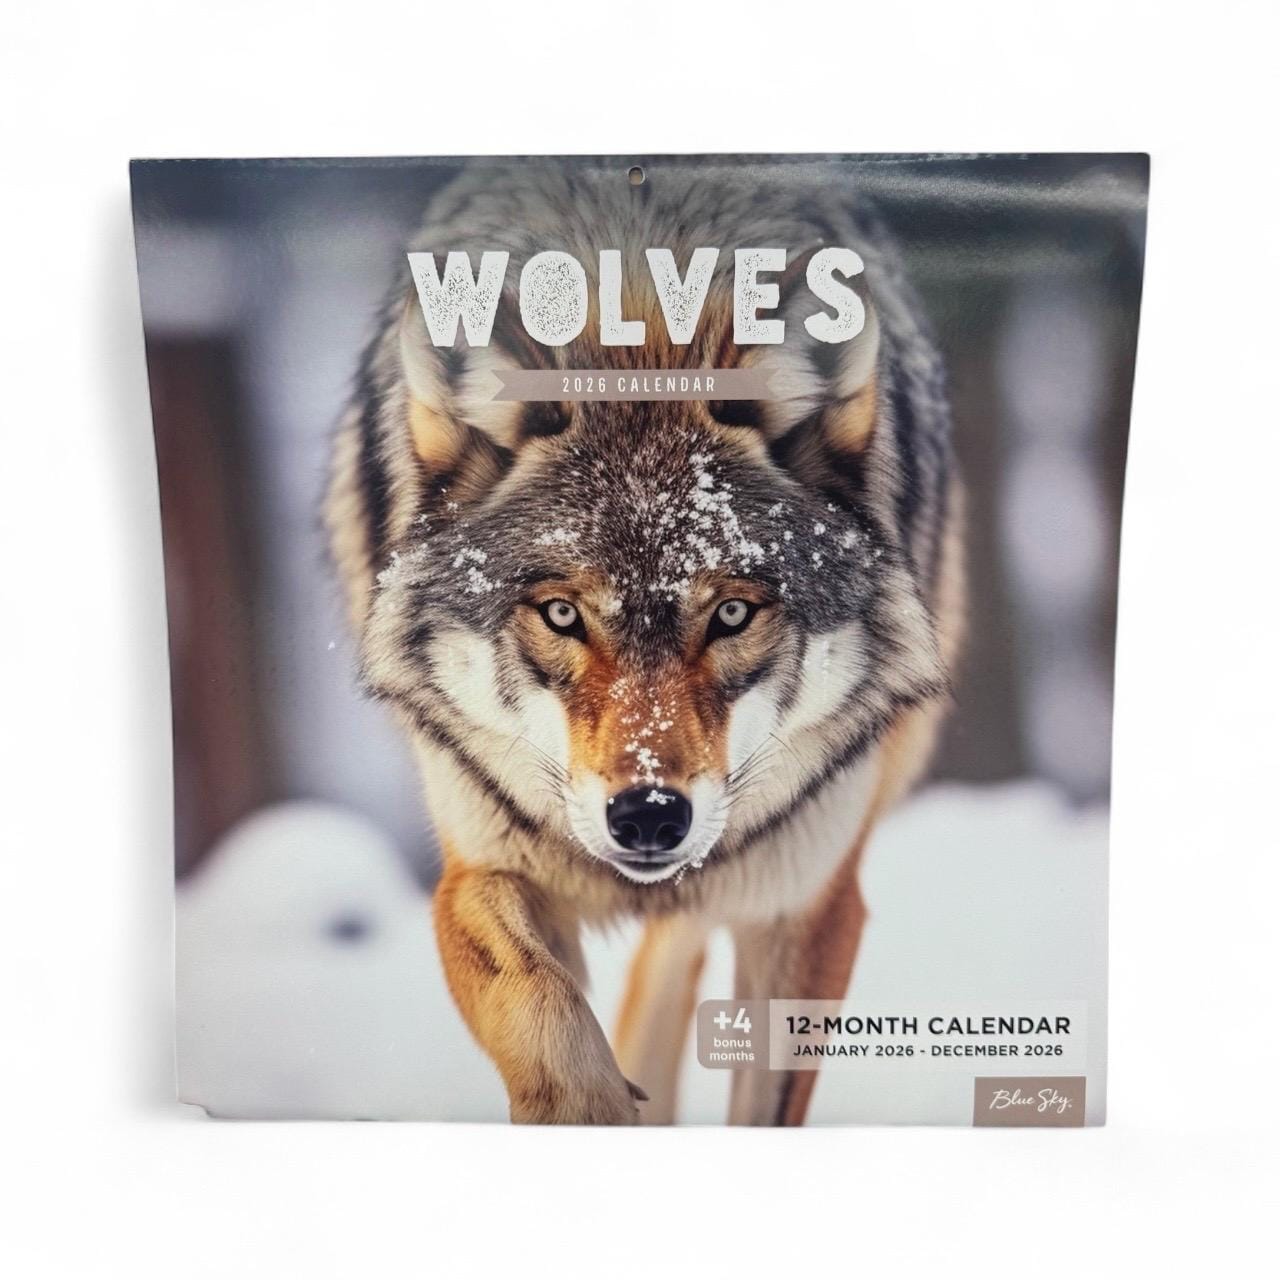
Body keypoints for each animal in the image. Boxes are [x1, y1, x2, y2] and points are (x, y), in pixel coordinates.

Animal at [327, 161, 964, 1125]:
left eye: (731, 614)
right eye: (562, 615)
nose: (651, 815)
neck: (640, 310)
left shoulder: (807, 906)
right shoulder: (478, 864)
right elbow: (545, 1015)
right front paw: (591, 1103)